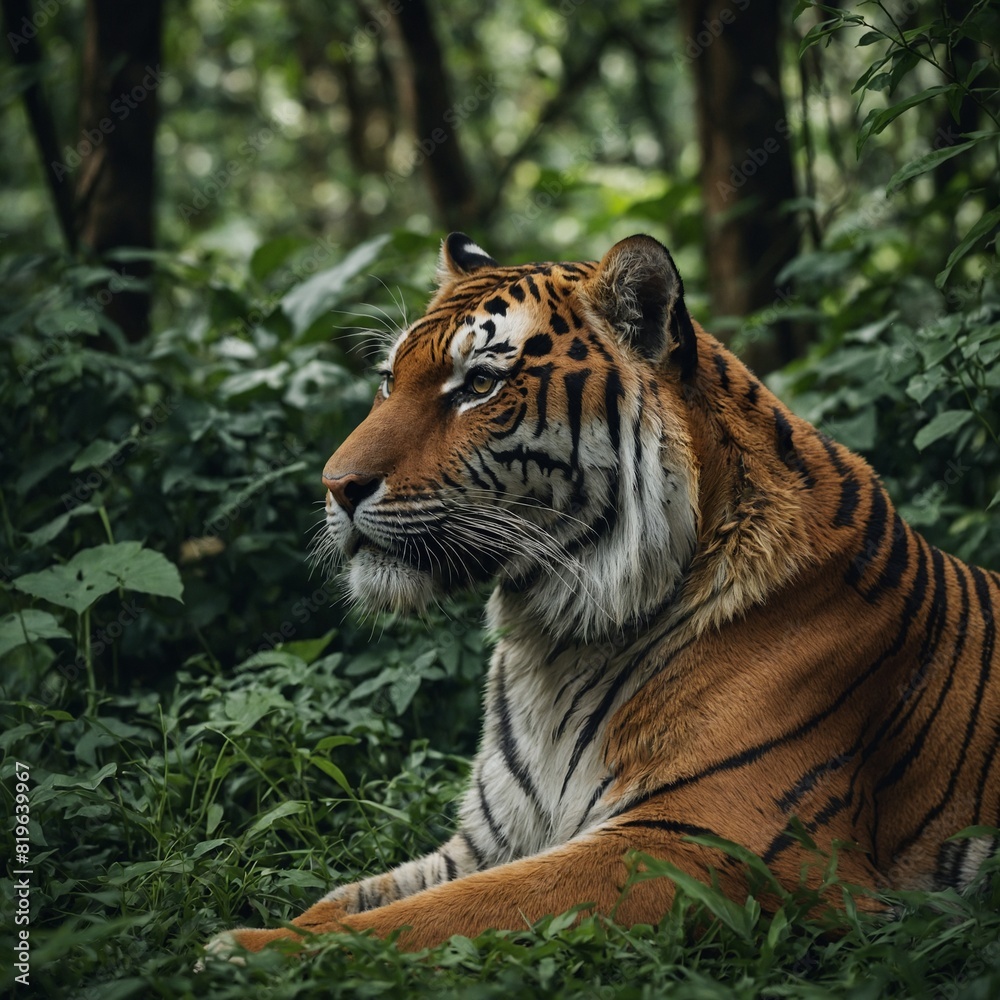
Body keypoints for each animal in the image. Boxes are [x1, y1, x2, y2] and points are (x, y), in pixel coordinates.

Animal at [204, 232, 1000, 961]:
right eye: (386, 380)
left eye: (480, 385)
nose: (335, 486)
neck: (554, 638)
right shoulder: (486, 840)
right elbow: (345, 899)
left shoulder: (703, 839)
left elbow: (437, 915)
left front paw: (240, 950)